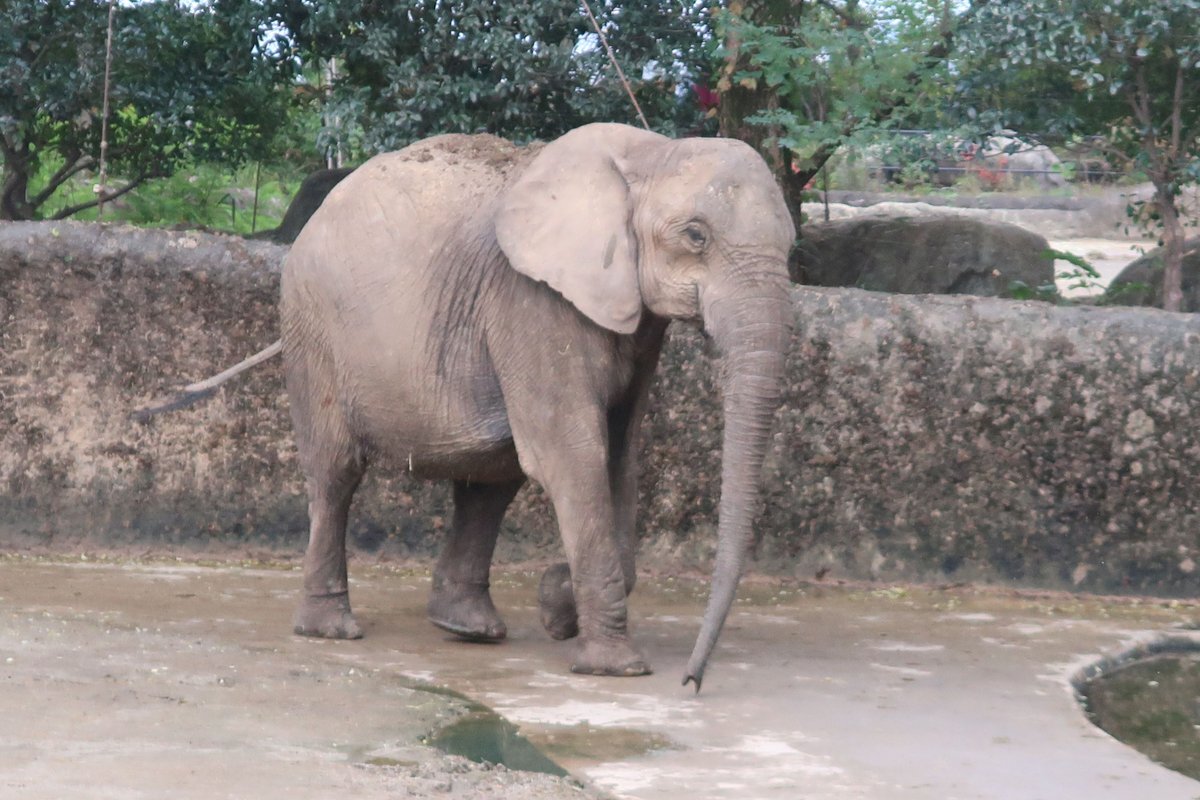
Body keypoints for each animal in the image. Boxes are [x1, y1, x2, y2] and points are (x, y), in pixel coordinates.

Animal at [281, 122, 794, 690]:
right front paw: (615, 667)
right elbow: (574, 455)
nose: (690, 682)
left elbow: (619, 456)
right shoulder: (532, 301)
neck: (653, 150)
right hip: (313, 331)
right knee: (337, 474)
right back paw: (331, 630)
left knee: (491, 478)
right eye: (696, 236)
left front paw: (556, 607)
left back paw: (469, 628)